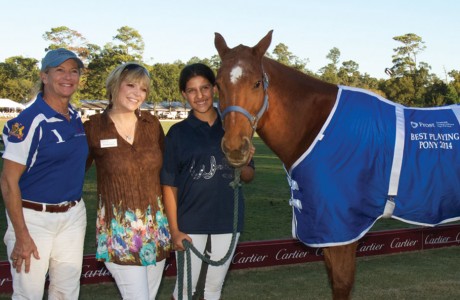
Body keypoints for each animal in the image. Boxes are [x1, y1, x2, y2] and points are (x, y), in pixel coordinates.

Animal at [215, 31, 460, 300]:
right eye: (217, 84)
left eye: (257, 83)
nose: (235, 147)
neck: (318, 125)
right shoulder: (327, 230)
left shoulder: (342, 227)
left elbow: (342, 283)